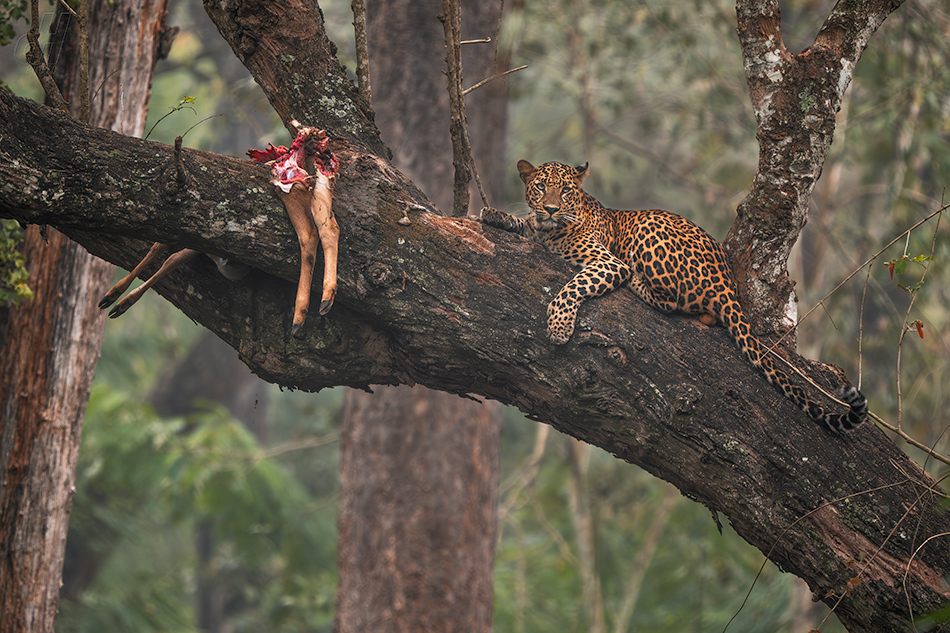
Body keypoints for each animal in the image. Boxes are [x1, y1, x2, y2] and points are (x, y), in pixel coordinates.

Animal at [484, 160, 872, 432]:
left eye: (565, 191)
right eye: (540, 188)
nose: (550, 208)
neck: (550, 230)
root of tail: (728, 281)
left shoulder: (607, 262)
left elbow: (572, 287)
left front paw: (559, 327)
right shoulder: (537, 230)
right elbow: (523, 225)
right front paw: (493, 214)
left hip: (648, 228)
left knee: (672, 301)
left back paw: (638, 283)